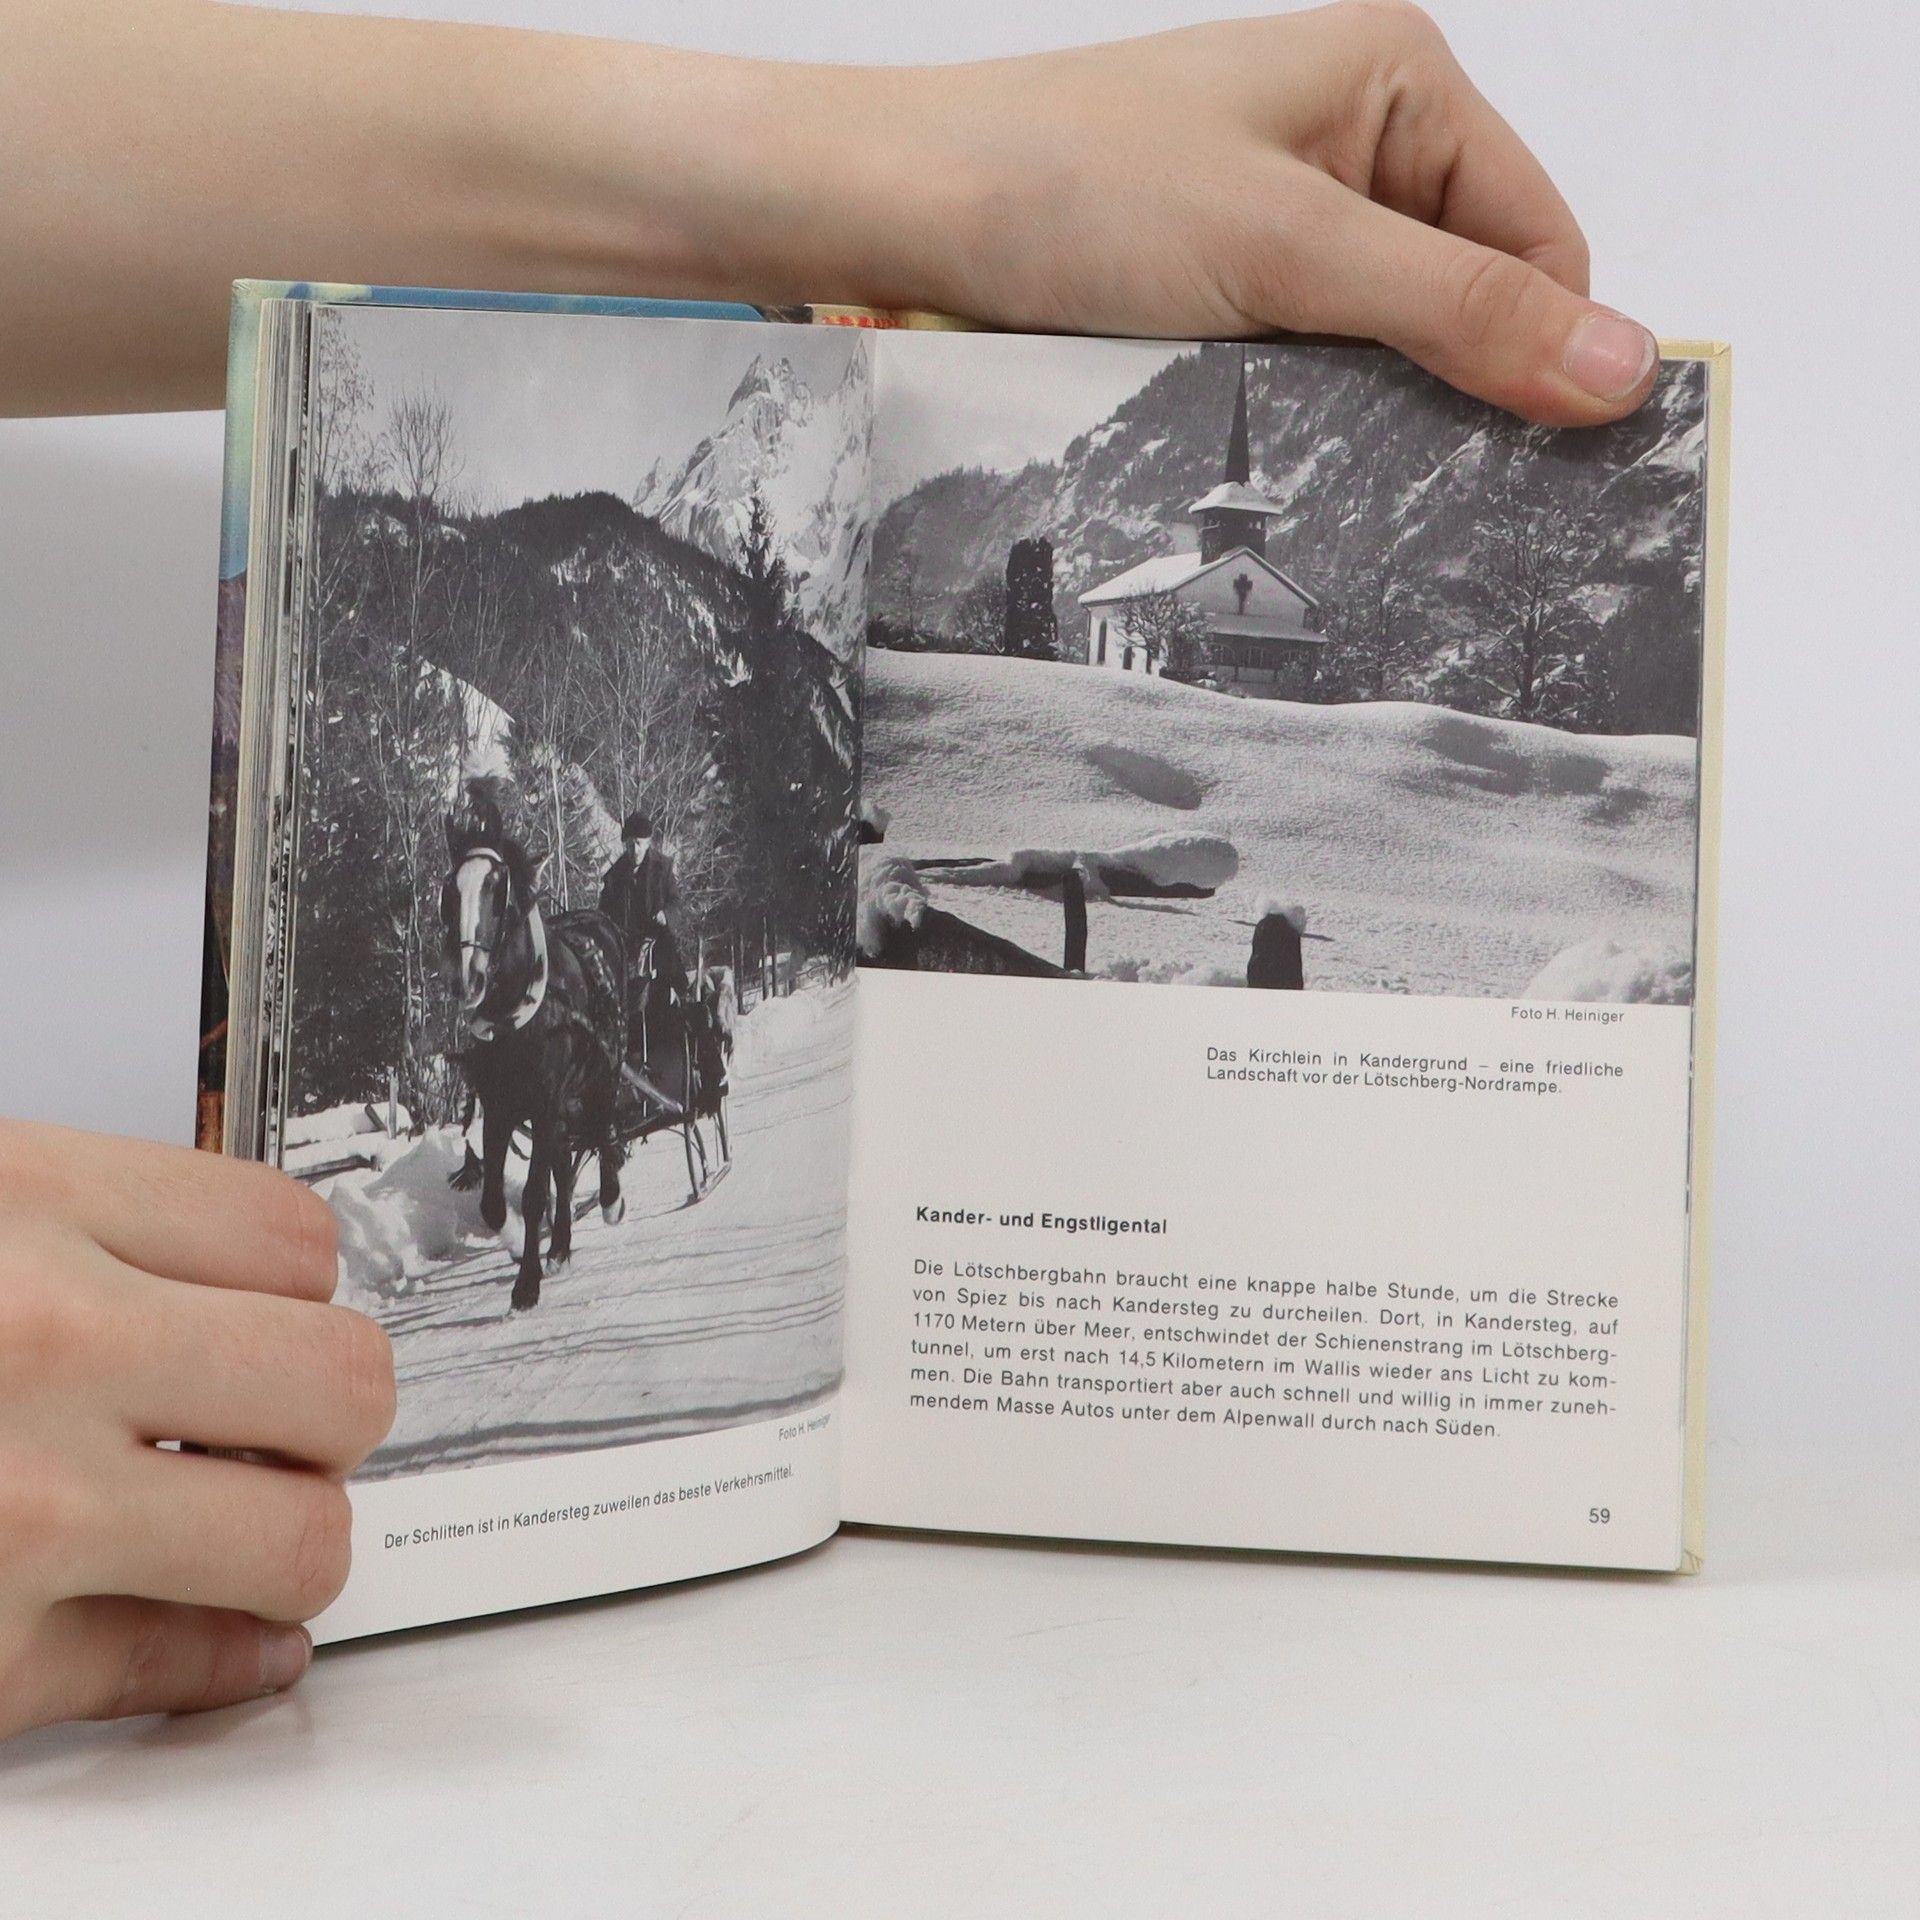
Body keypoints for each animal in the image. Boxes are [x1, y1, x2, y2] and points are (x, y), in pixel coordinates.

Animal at [440, 796, 628, 1312]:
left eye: (497, 888)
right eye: (449, 892)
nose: (468, 979)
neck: (517, 1020)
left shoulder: (543, 1106)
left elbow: (532, 1194)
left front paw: (527, 1283)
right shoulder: (501, 1108)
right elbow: (494, 1201)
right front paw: (513, 1242)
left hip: (603, 1071)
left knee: (605, 1128)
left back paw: (610, 1200)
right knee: (565, 1168)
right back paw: (560, 1246)